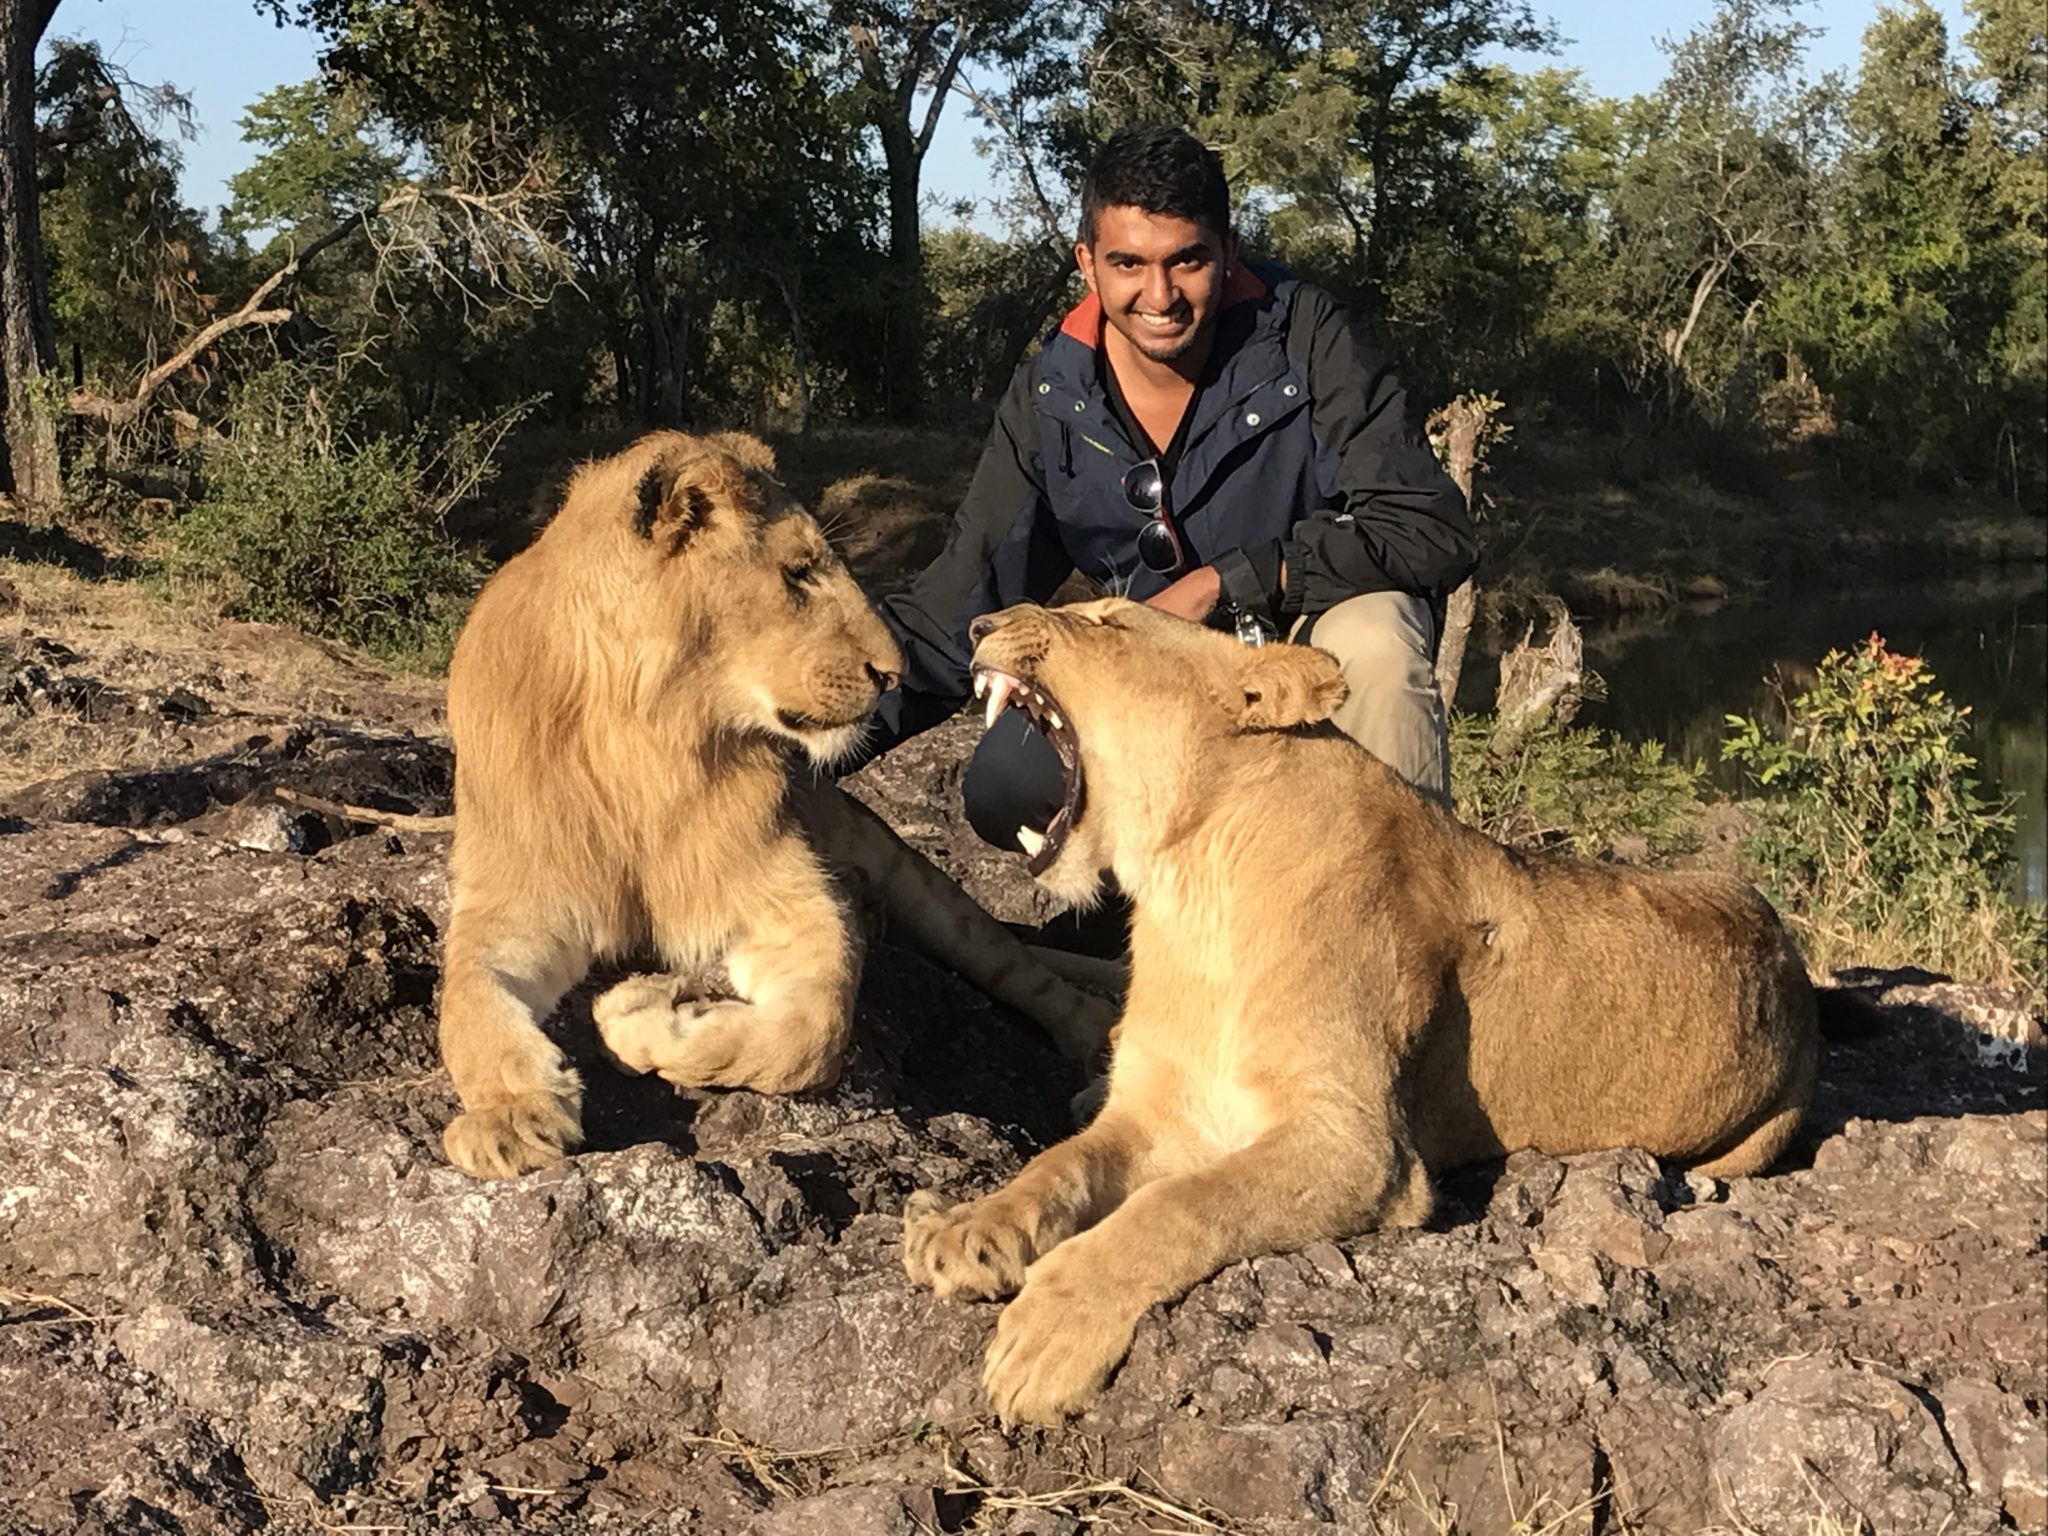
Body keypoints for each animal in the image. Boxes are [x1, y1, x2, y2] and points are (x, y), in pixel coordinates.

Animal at [438, 438, 1114, 1187]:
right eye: (798, 573)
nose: (894, 673)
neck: (650, 739)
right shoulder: (511, 900)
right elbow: (466, 1005)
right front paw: (511, 1115)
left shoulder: (789, 893)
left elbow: (813, 1032)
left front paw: (643, 1014)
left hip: (928, 889)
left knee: (1037, 980)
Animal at [905, 602, 1818, 1433]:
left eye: (1111, 622)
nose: (980, 624)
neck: (1189, 887)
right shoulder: (1157, 1107)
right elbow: (1056, 1167)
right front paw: (967, 1228)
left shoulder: (1359, 1147)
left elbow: (1181, 1206)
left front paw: (1047, 1330)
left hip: (1762, 1132)